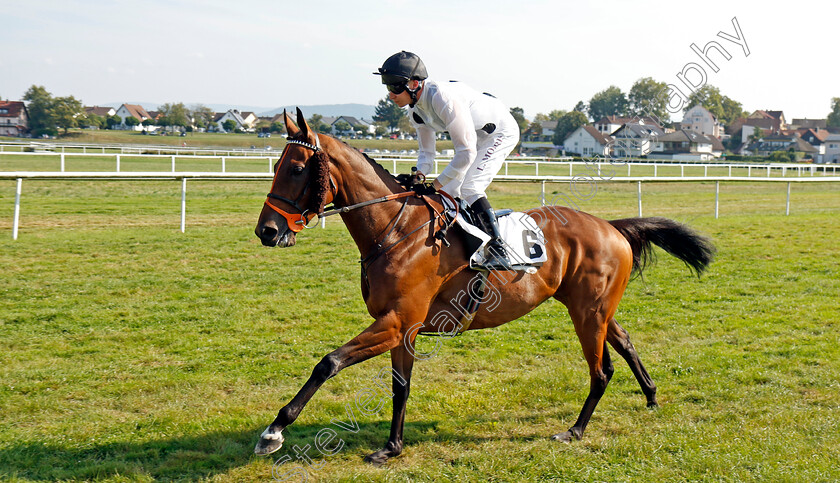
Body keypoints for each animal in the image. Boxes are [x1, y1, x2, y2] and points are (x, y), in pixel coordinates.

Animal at [254, 108, 716, 466]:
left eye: (296, 168)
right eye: (275, 166)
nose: (266, 231)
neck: (396, 231)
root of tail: (612, 227)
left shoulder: (394, 321)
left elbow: (328, 363)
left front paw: (274, 431)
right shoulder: (404, 328)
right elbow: (400, 388)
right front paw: (392, 447)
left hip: (587, 314)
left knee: (601, 370)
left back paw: (575, 430)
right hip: (596, 309)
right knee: (625, 342)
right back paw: (651, 396)